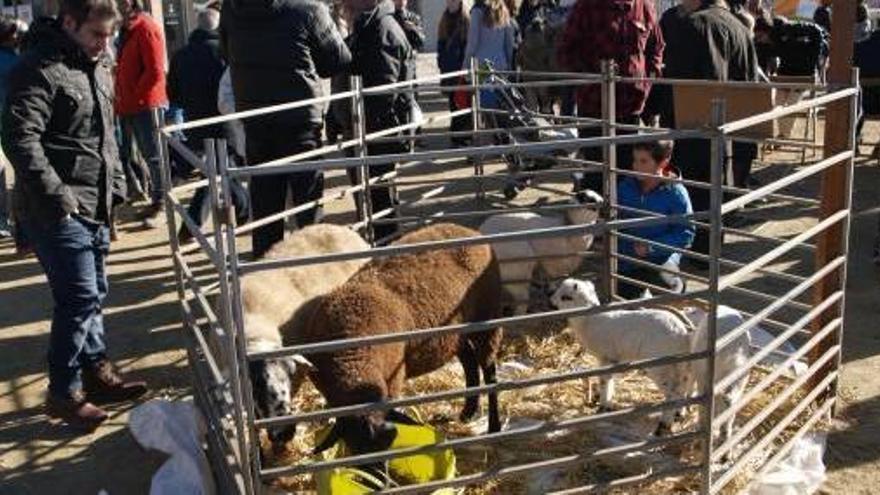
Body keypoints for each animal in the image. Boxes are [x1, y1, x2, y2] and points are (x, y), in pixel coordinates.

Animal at [290, 224, 502, 458]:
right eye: (354, 449)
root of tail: (467, 229)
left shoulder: (393, 380)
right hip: (453, 333)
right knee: (470, 362)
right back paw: (468, 412)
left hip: (487, 319)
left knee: (489, 371)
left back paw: (494, 426)